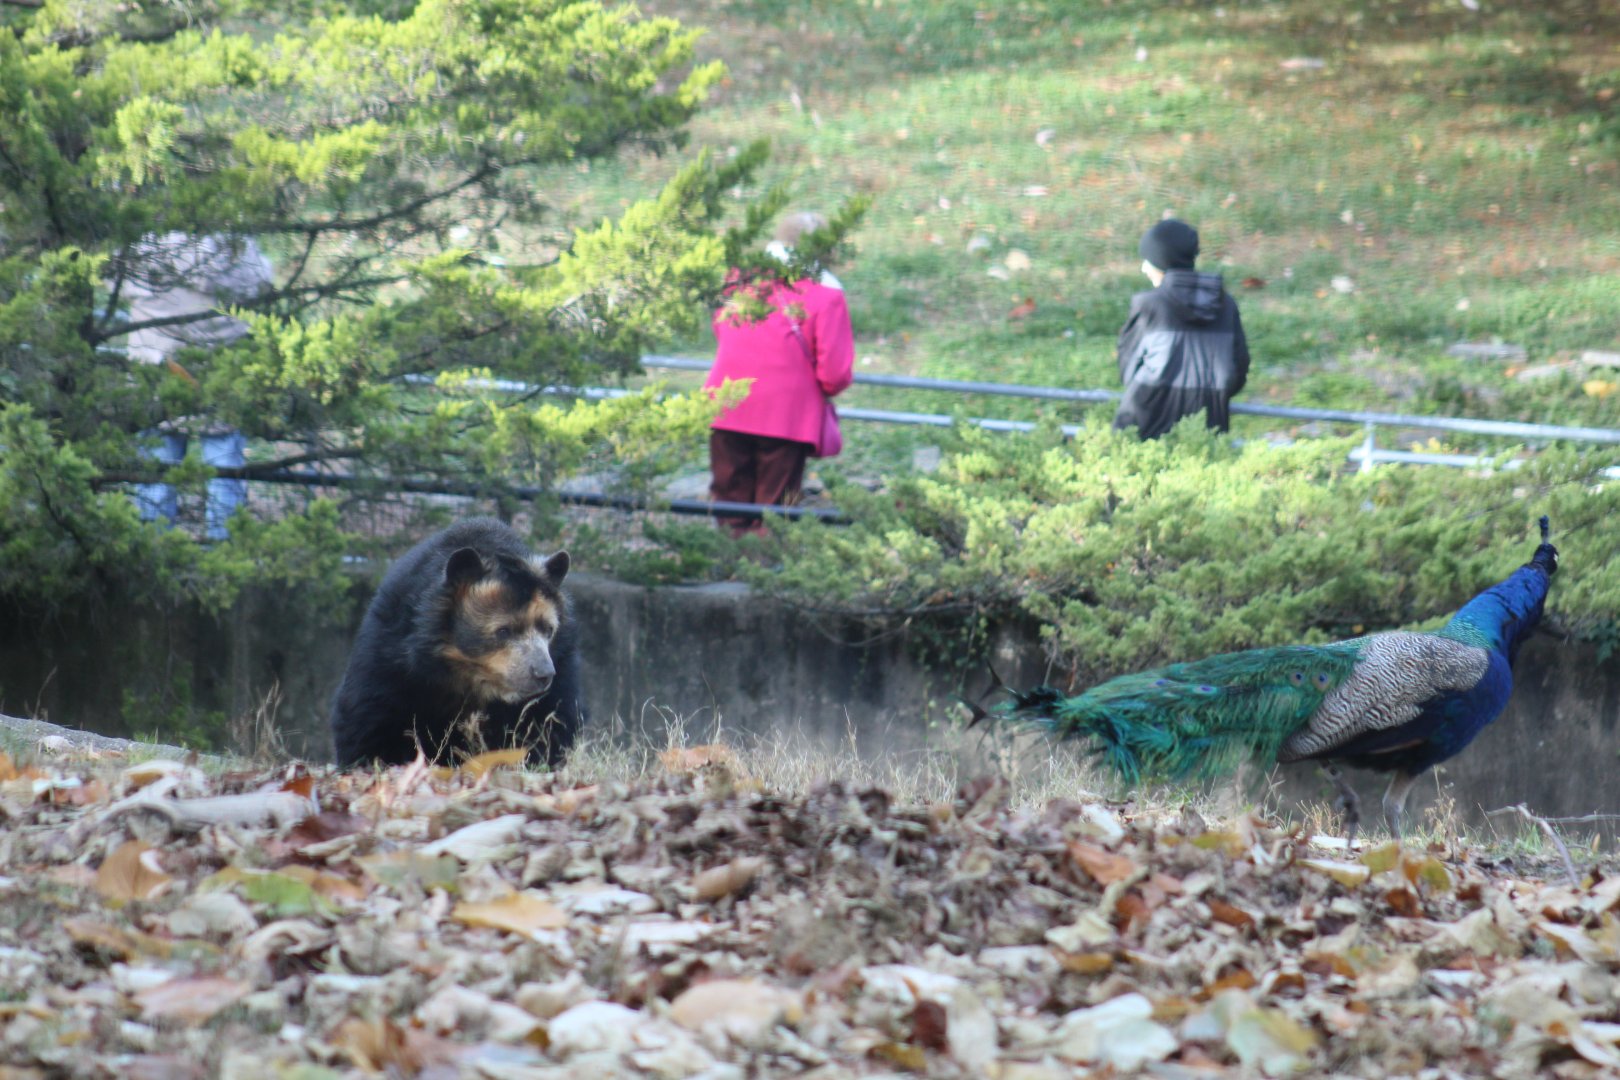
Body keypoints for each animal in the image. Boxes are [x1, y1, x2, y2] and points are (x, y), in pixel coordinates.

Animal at [329, 517, 585, 768]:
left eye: (548, 629)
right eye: (503, 631)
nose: (543, 674)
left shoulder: (561, 666)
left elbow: (551, 719)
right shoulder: (390, 656)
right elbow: (370, 716)